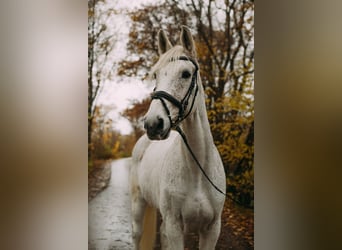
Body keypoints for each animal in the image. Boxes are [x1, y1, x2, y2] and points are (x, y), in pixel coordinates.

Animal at [130, 26, 226, 249]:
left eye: (186, 74)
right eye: (156, 75)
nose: (152, 124)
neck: (198, 172)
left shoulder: (212, 229)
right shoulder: (175, 227)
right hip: (139, 203)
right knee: (137, 235)